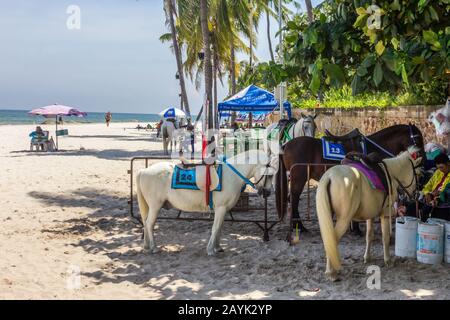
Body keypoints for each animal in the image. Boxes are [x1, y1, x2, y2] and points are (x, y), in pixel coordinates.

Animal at [135, 149, 276, 255]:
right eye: (269, 175)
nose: (268, 193)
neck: (232, 175)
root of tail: (144, 171)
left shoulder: (223, 210)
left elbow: (219, 228)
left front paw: (218, 247)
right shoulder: (220, 208)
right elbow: (215, 228)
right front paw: (210, 250)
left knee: (146, 223)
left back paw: (147, 246)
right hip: (155, 205)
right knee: (149, 224)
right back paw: (154, 247)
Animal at [276, 123, 424, 232]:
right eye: (418, 139)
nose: (424, 159)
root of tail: (286, 145)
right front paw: (356, 228)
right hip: (299, 179)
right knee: (294, 199)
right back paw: (299, 226)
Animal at [316, 146, 422, 282]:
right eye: (417, 174)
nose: (416, 195)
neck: (391, 174)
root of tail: (329, 176)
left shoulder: (370, 216)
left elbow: (369, 236)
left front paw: (367, 258)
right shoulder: (384, 214)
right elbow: (385, 237)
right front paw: (387, 260)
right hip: (344, 220)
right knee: (332, 240)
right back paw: (331, 272)